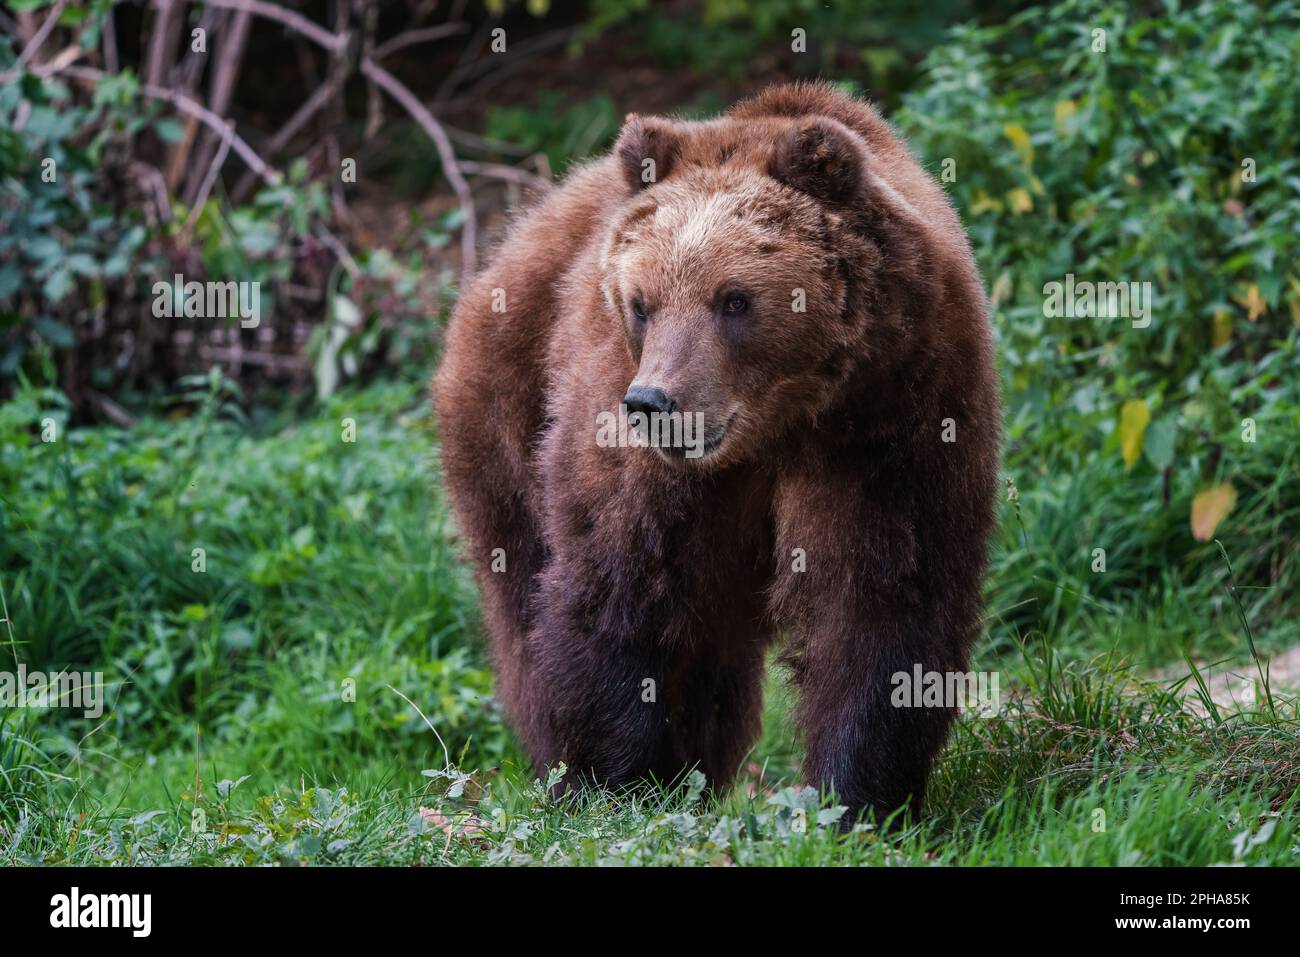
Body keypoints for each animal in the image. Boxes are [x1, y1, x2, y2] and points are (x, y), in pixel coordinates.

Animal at [434, 81, 1001, 824]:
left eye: (734, 299)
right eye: (642, 302)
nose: (654, 404)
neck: (779, 422)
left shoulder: (896, 416)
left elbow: (883, 596)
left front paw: (856, 797)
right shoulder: (629, 438)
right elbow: (620, 584)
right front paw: (611, 781)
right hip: (505, 407)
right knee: (527, 589)